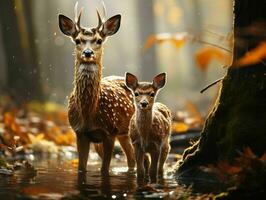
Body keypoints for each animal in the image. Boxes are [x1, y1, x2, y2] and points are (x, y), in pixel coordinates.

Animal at [59, 3, 136, 175]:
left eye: (99, 40)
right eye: (78, 40)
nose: (88, 53)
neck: (90, 114)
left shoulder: (110, 131)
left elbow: (104, 170)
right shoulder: (79, 132)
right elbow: (81, 169)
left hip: (127, 129)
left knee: (133, 158)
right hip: (116, 135)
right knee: (131, 158)